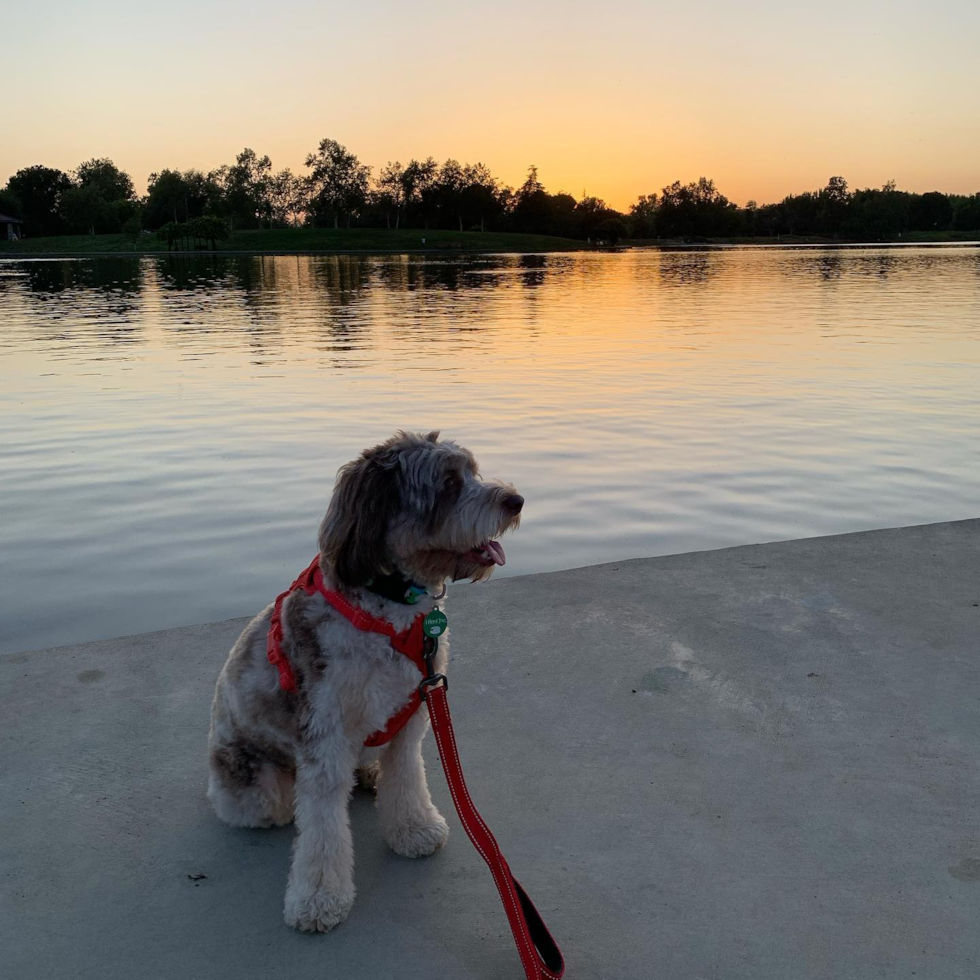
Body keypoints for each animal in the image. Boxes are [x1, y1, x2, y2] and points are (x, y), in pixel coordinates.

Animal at [206, 432, 520, 932]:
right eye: (449, 484)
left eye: (473, 470)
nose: (516, 500)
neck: (389, 610)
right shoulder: (325, 735)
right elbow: (321, 829)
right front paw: (318, 899)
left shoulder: (413, 713)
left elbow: (407, 775)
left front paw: (413, 828)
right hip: (256, 782)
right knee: (274, 806)